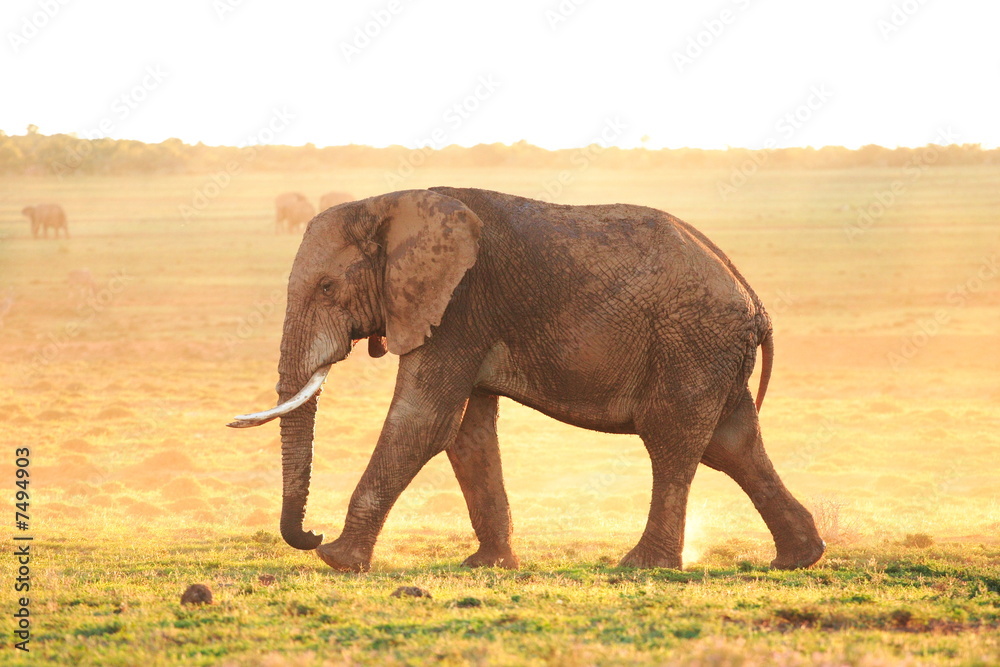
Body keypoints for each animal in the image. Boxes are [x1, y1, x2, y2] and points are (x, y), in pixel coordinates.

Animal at [229, 187, 825, 573]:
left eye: (327, 288)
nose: (311, 532)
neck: (389, 205)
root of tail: (754, 301)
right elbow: (465, 432)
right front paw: (486, 566)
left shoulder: (460, 302)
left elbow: (423, 421)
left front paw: (338, 561)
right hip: (709, 351)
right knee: (733, 445)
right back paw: (799, 559)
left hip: (691, 343)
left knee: (674, 442)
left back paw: (641, 567)